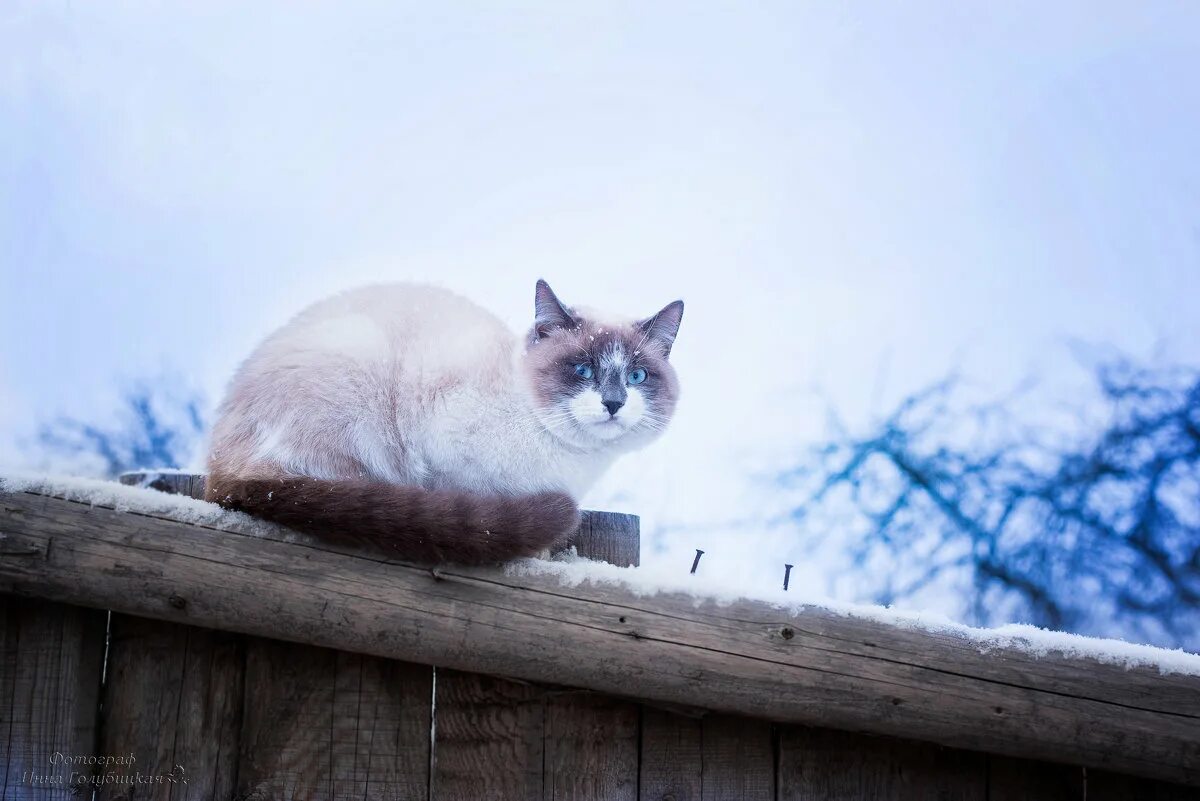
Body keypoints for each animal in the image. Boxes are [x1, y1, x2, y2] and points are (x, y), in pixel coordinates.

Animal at [206, 280, 686, 563]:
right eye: (582, 370)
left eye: (637, 377)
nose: (613, 402)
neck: (571, 462)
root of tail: (217, 469)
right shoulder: (440, 450)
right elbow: (469, 507)